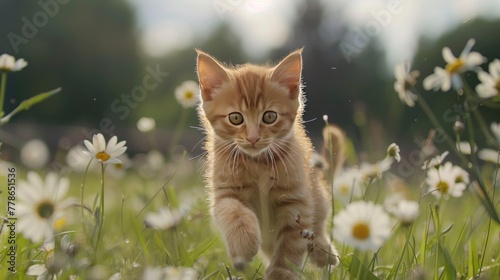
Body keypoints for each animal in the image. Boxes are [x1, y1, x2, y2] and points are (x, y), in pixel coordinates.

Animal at [195, 49, 340, 278]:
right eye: (235, 118)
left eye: (269, 117)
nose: (253, 138)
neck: (258, 164)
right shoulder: (224, 193)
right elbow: (233, 211)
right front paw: (243, 244)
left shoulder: (296, 203)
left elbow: (289, 250)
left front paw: (280, 274)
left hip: (318, 194)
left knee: (318, 225)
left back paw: (323, 251)